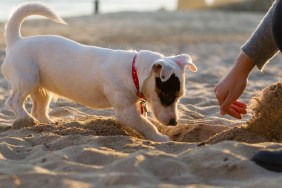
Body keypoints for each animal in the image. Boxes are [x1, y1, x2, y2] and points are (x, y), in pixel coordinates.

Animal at [2, 2, 197, 142]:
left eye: (179, 97)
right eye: (167, 96)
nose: (174, 123)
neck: (132, 71)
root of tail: (16, 41)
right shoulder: (126, 111)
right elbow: (147, 124)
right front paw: (161, 137)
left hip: (41, 88)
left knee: (39, 109)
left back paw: (49, 124)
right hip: (27, 79)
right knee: (14, 101)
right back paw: (26, 118)